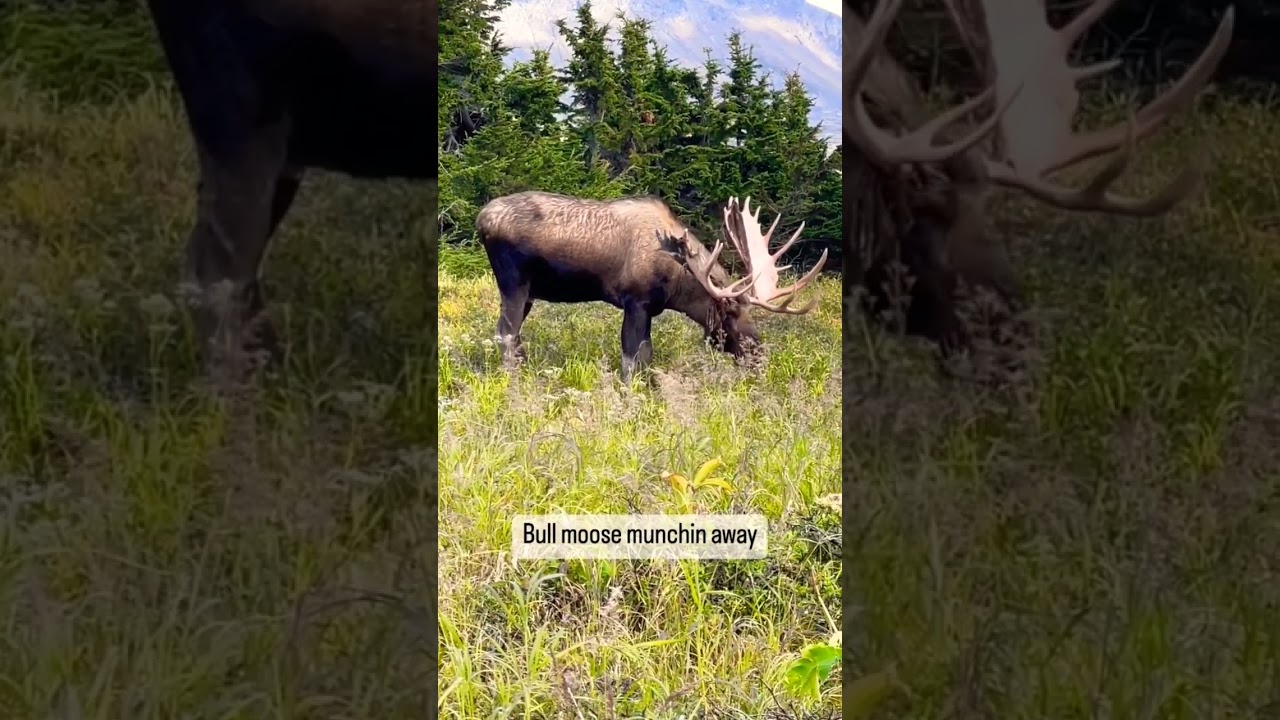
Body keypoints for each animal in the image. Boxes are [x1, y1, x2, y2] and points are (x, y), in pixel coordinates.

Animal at [474, 191, 829, 382]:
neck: (679, 285)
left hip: (529, 292)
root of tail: (481, 219)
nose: (759, 355)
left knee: (511, 333)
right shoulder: (636, 301)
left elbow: (645, 356)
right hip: (513, 282)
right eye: (729, 311)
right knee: (505, 332)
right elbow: (634, 358)